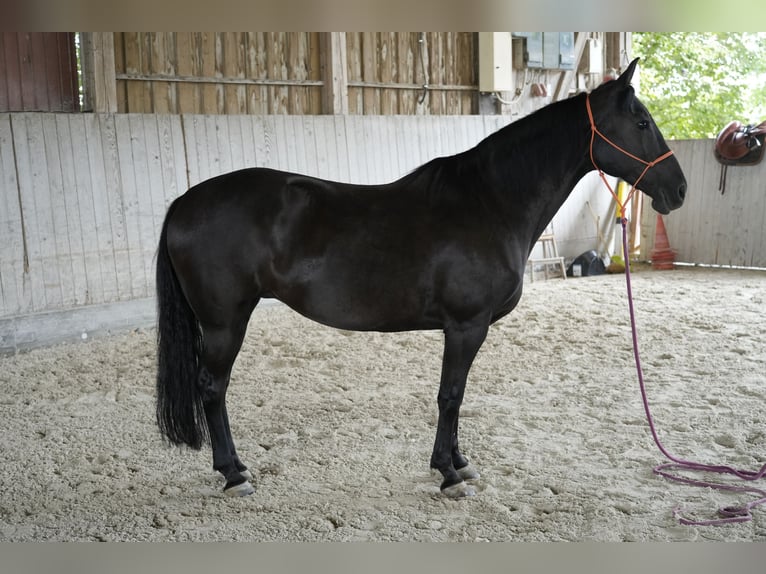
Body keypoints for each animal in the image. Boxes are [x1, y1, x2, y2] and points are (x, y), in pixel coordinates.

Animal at [155, 58, 686, 499]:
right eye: (641, 122)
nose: (678, 189)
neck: (489, 202)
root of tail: (183, 202)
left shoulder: (466, 329)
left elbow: (457, 397)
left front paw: (459, 462)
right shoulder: (466, 326)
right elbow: (450, 396)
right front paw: (449, 475)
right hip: (225, 323)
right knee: (212, 388)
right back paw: (233, 474)